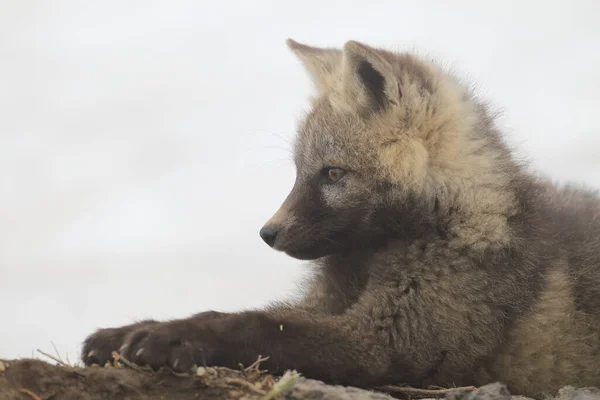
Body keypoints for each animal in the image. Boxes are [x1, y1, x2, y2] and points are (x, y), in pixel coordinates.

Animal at [81, 39, 600, 398]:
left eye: (333, 173)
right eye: (298, 171)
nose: (268, 234)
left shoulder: (384, 344)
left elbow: (252, 325)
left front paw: (166, 338)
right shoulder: (324, 303)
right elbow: (243, 314)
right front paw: (127, 333)